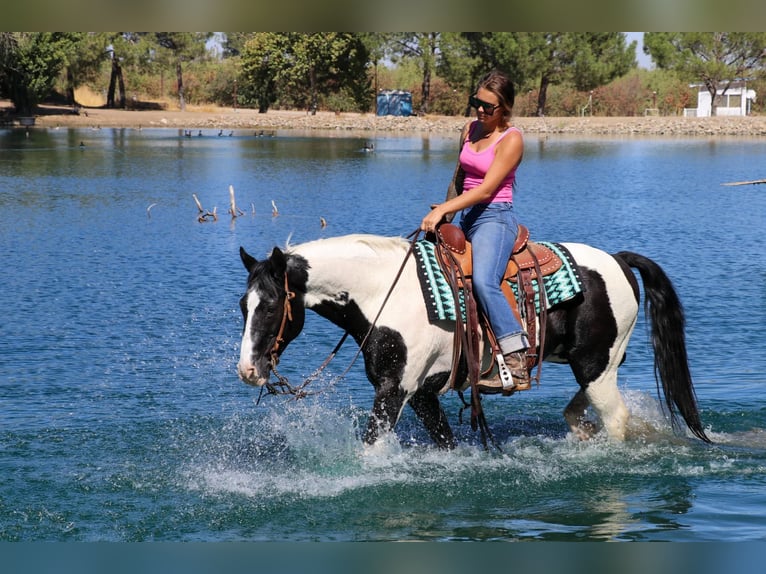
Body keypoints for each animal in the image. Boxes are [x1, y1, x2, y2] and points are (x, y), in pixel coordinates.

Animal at [237, 233, 710, 449]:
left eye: (271, 306)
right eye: (244, 304)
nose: (248, 370)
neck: (383, 292)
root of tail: (618, 260)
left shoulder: (394, 390)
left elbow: (372, 447)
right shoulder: (423, 394)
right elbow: (445, 440)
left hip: (596, 367)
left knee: (616, 418)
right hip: (595, 366)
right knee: (581, 408)